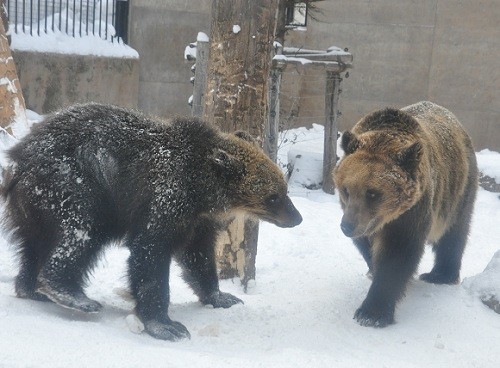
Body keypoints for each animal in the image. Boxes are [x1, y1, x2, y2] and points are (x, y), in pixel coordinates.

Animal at [1, 102, 302, 340]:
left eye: (284, 189)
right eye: (273, 196)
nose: (297, 218)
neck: (201, 189)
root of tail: (17, 158)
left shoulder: (196, 221)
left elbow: (198, 257)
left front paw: (222, 296)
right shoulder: (164, 199)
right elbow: (150, 255)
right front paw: (167, 325)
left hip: (36, 206)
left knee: (34, 245)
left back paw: (31, 288)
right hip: (76, 184)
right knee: (80, 233)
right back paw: (73, 295)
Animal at [332, 100, 476, 328]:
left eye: (373, 193)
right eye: (346, 189)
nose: (347, 226)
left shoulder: (412, 211)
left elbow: (397, 253)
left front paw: (371, 313)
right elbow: (368, 247)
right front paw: (372, 269)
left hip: (457, 191)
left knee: (453, 233)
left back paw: (440, 274)